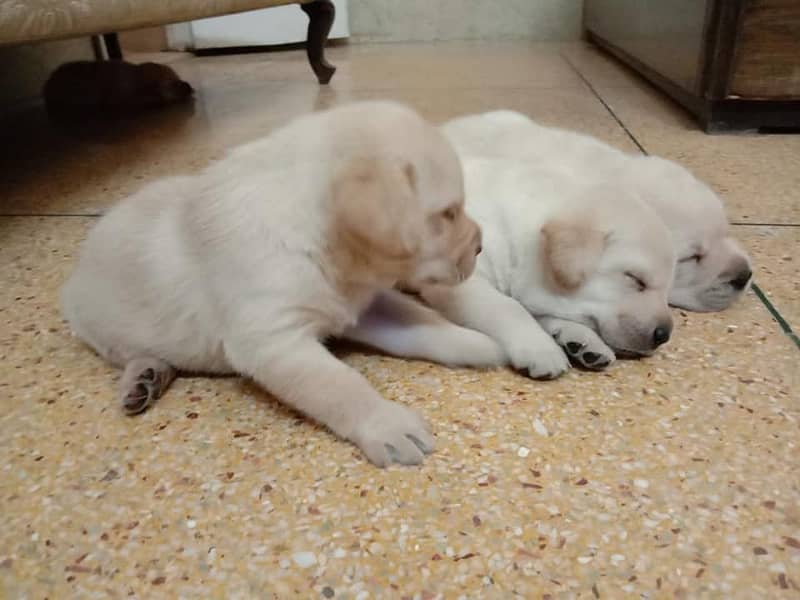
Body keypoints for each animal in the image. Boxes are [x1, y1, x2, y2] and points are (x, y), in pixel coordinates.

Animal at [62, 102, 500, 468]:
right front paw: (387, 424)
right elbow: (341, 385)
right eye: (448, 213)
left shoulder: (363, 307)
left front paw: (475, 342)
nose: (481, 245)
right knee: (130, 353)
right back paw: (143, 376)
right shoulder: (276, 341)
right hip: (97, 327)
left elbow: (421, 323)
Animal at [418, 157, 676, 378]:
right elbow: (507, 306)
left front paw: (581, 338)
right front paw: (540, 347)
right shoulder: (458, 277)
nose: (664, 335)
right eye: (635, 278)